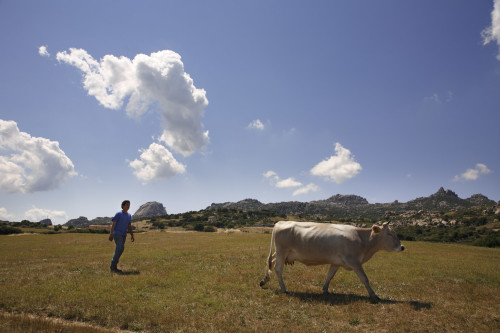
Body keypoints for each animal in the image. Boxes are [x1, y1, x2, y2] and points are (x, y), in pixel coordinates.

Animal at [260, 219, 404, 300]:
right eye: (390, 234)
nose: (402, 247)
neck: (362, 239)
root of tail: (281, 222)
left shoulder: (336, 262)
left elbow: (329, 276)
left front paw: (325, 289)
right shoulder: (354, 261)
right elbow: (364, 278)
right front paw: (374, 295)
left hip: (283, 253)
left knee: (270, 261)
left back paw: (264, 280)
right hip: (282, 251)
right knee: (278, 268)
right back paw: (283, 288)